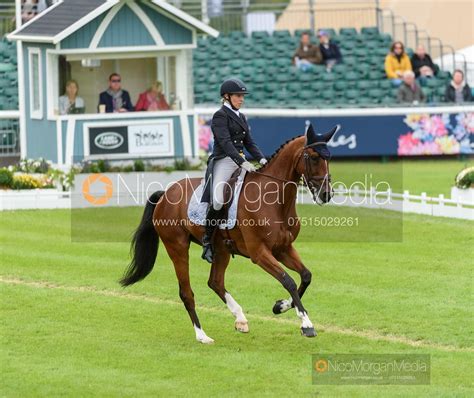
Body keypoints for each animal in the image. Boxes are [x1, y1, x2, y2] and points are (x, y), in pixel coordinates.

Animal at [120, 123, 338, 342]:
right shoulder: (260, 253)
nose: (326, 194)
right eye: (313, 157)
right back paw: (202, 335)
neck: (273, 200)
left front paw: (280, 306)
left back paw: (240, 318)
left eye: (328, 158)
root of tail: (165, 194)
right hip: (177, 247)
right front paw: (306, 324)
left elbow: (306, 276)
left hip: (221, 249)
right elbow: (289, 281)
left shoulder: (283, 248)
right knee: (186, 292)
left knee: (215, 282)